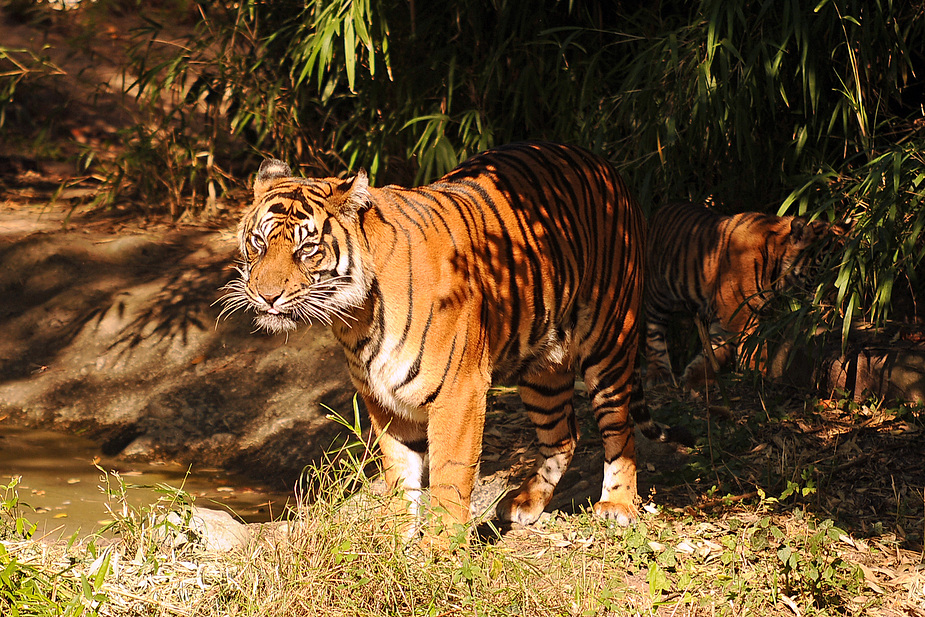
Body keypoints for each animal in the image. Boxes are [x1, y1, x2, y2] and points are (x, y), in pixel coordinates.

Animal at [218, 142, 684, 536]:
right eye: (258, 243)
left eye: (306, 250)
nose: (266, 295)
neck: (356, 317)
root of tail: (607, 167)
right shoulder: (383, 399)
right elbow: (401, 473)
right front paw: (396, 541)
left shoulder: (460, 391)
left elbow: (449, 475)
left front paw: (439, 549)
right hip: (543, 369)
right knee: (564, 435)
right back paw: (525, 503)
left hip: (609, 343)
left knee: (618, 427)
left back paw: (618, 506)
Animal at [644, 202, 836, 390]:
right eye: (823, 269)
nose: (835, 299)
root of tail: (661, 208)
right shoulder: (736, 312)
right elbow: (740, 345)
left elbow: (727, 347)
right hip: (658, 295)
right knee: (654, 333)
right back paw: (658, 375)